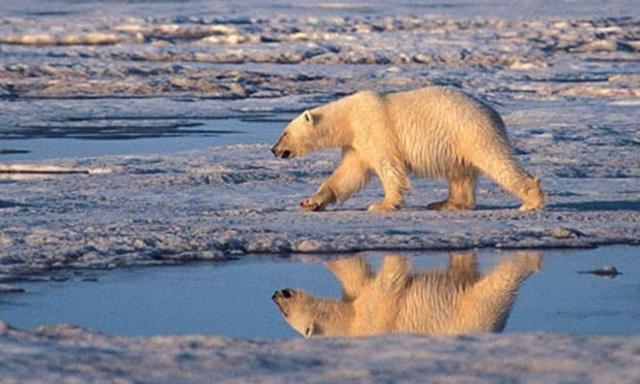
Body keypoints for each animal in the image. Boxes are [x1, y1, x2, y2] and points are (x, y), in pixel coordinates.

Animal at [270, 86, 544, 212]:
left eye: (284, 133)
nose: (274, 149)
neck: (348, 118)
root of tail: (493, 113)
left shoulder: (375, 129)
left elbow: (388, 167)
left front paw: (382, 205)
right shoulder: (356, 144)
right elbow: (348, 174)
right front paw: (310, 201)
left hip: (471, 131)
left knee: (497, 161)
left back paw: (530, 201)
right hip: (459, 142)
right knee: (460, 173)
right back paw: (445, 203)